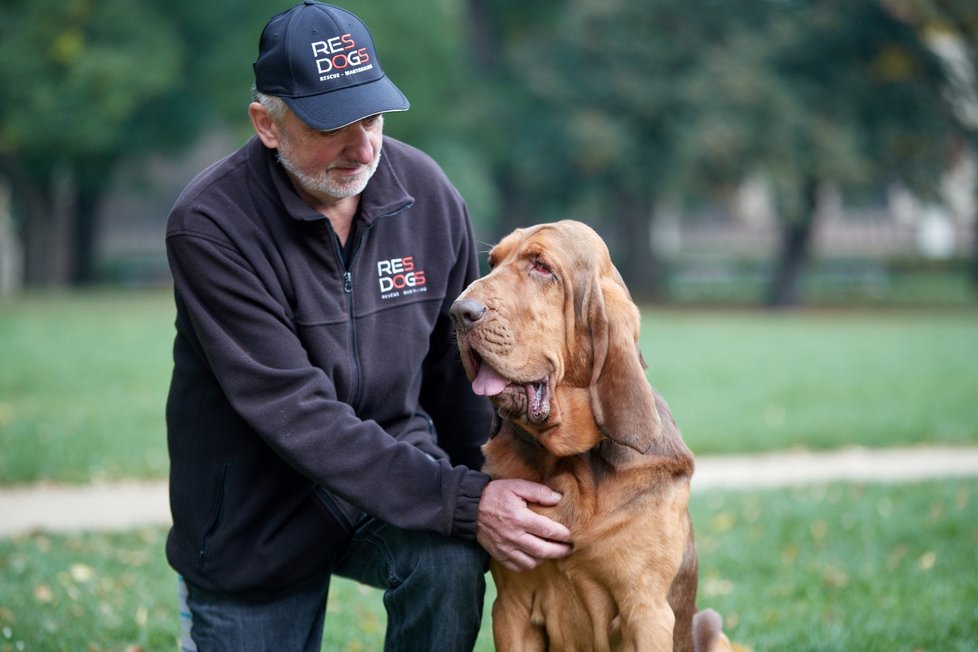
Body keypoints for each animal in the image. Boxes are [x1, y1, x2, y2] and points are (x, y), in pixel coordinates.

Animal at [448, 222, 724, 648]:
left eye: (542, 267)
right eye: (493, 262)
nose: (459, 313)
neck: (570, 463)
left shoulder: (648, 613)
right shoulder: (511, 607)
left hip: (711, 626)